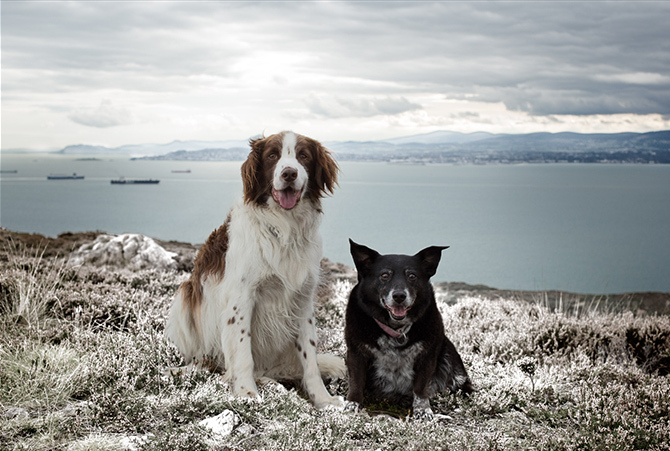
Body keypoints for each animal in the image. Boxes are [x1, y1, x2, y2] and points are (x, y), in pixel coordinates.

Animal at [167, 130, 346, 410]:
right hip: (184, 298)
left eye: (303, 156)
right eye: (272, 156)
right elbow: (243, 351)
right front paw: (246, 392)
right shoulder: (241, 299)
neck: (284, 229)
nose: (289, 173)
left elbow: (310, 358)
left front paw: (322, 399)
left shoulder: (302, 300)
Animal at [346, 240, 472, 420]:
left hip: (448, 354)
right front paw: (352, 405)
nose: (399, 296)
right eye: (385, 275)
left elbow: (420, 387)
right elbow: (356, 382)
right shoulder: (356, 353)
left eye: (412, 276)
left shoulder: (427, 357)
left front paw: (423, 411)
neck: (395, 330)